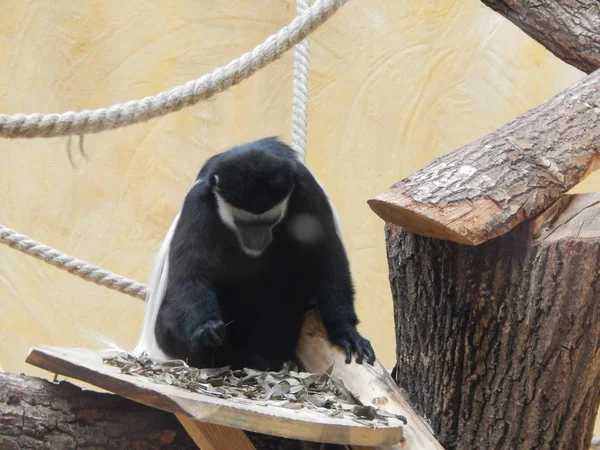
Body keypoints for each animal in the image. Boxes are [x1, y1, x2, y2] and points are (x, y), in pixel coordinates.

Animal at [135, 138, 376, 372]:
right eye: (243, 223)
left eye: (270, 221)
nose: (257, 240)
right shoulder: (199, 204)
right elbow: (190, 269)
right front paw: (206, 327)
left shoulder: (308, 192)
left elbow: (326, 256)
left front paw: (346, 331)